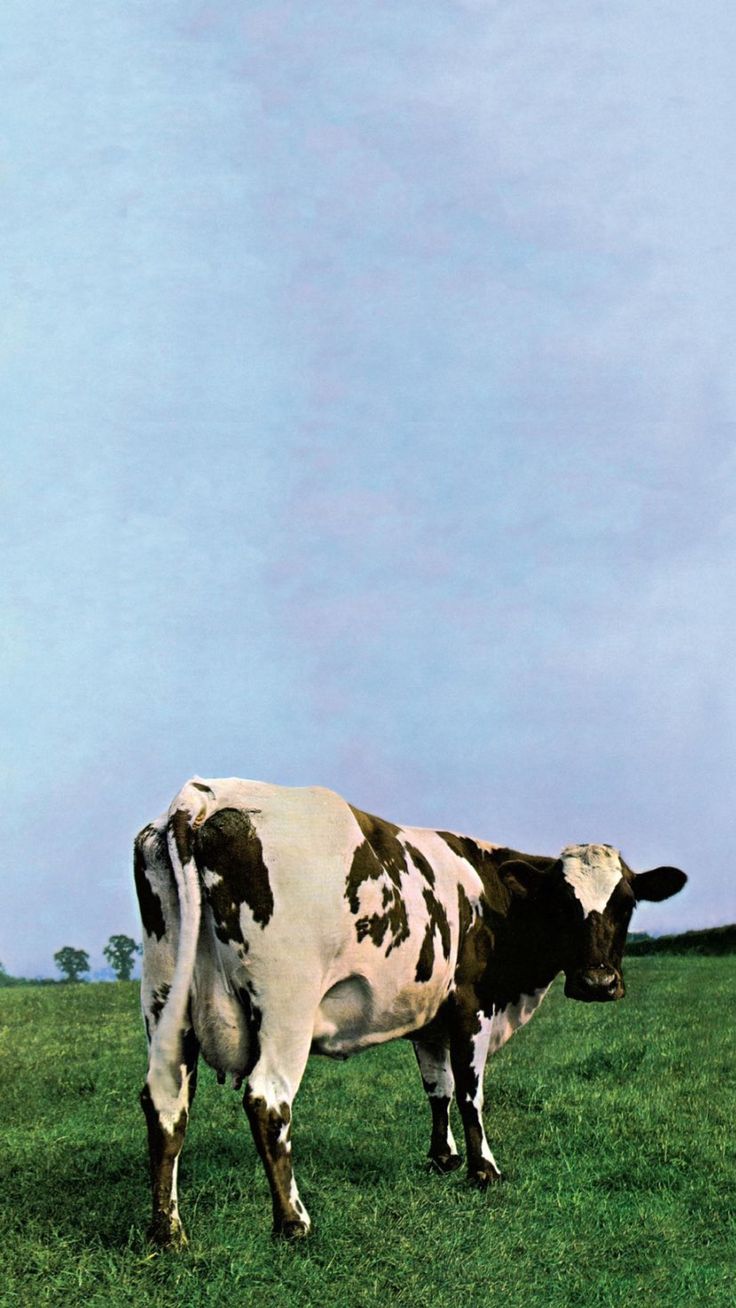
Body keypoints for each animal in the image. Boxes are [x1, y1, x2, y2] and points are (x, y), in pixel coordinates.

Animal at [133, 774, 690, 1245]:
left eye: (626, 903)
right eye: (563, 904)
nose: (598, 982)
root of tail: (205, 795)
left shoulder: (429, 1018)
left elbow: (436, 1088)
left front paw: (443, 1157)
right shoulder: (471, 1007)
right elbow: (469, 1092)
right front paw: (483, 1169)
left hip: (164, 998)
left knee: (165, 1101)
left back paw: (168, 1231)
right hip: (285, 1007)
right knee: (267, 1101)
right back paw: (293, 1222)